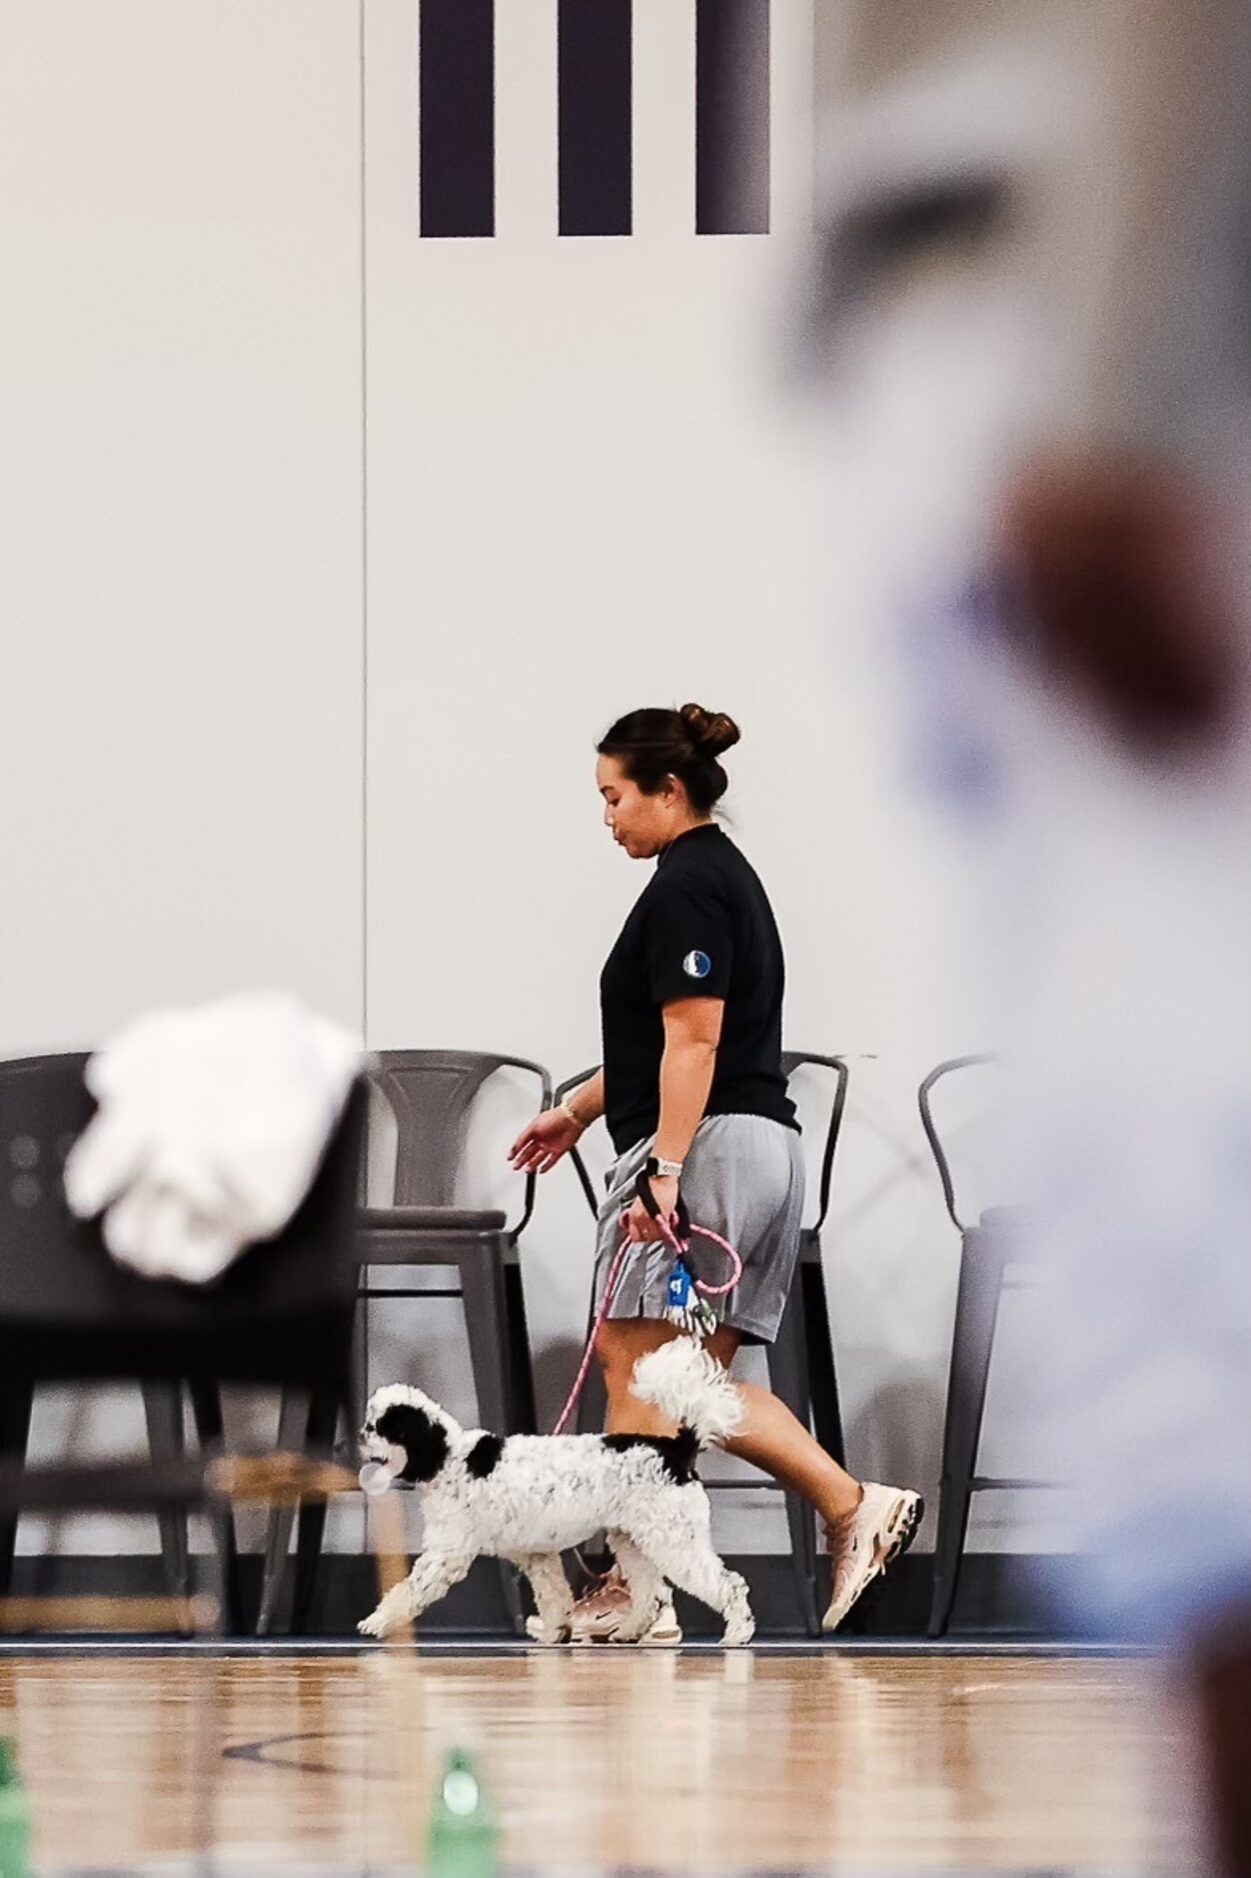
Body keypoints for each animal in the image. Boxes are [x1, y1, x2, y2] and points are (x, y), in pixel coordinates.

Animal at [355, 1337, 755, 1645]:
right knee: (652, 1593)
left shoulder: (445, 1555)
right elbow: (554, 1596)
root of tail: (678, 1449)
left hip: (675, 1540)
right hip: (633, 1540)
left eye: (383, 1428)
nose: (360, 1435)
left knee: (729, 1584)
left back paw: (737, 1634)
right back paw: (629, 1632)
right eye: (369, 1422)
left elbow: (408, 1590)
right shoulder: (537, 1554)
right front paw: (554, 1633)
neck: (449, 1456)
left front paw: (377, 1621)